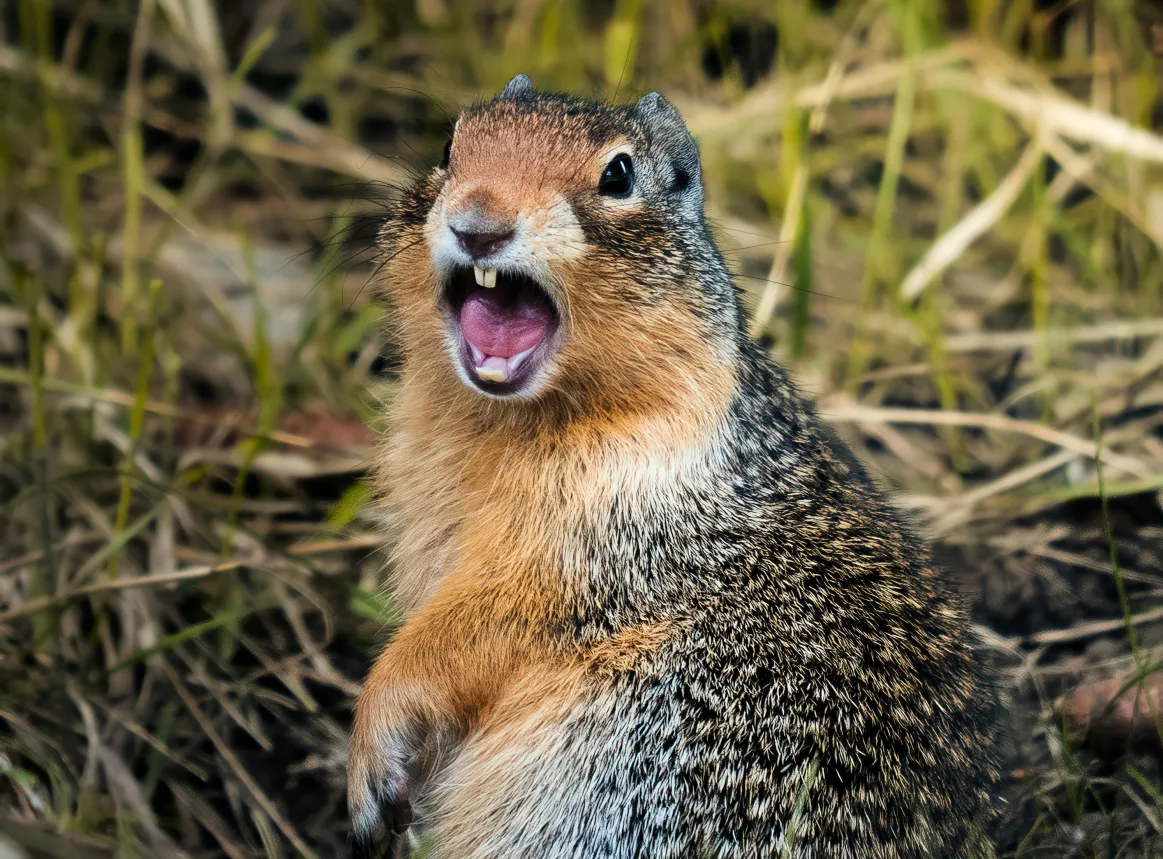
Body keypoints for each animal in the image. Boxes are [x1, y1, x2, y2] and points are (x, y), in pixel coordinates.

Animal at [347, 73, 1001, 859]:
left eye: (619, 175)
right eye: (449, 146)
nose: (479, 225)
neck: (502, 423)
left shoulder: (596, 550)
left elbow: (462, 640)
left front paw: (372, 753)